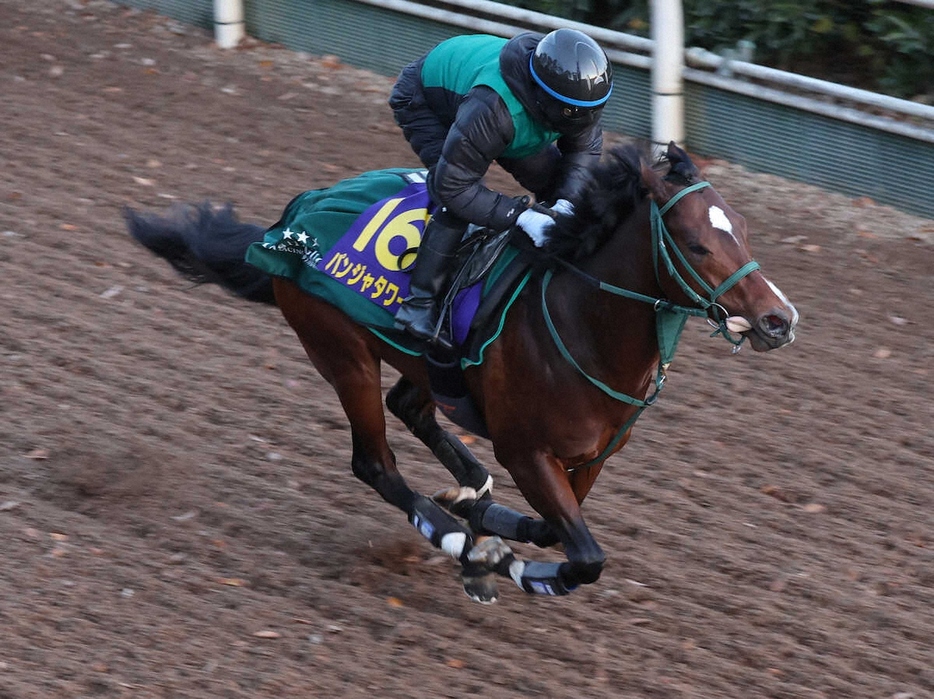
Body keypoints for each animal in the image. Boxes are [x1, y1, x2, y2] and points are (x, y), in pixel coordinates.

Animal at [124, 142, 796, 600]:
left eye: (743, 229)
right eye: (697, 244)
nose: (778, 319)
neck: (583, 324)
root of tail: (286, 223)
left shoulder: (591, 458)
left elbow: (555, 529)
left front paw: (488, 521)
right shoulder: (527, 451)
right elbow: (585, 557)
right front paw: (500, 561)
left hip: (426, 366)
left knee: (411, 409)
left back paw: (469, 495)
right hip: (342, 353)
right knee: (375, 464)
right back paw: (457, 534)